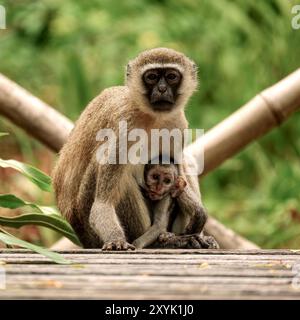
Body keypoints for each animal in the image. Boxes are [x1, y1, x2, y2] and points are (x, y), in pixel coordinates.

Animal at [52, 47, 209, 250]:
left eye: (171, 76)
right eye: (151, 77)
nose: (162, 89)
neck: (152, 117)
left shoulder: (178, 124)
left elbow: (177, 175)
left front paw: (198, 216)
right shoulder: (124, 124)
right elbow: (102, 205)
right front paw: (116, 239)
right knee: (115, 169)